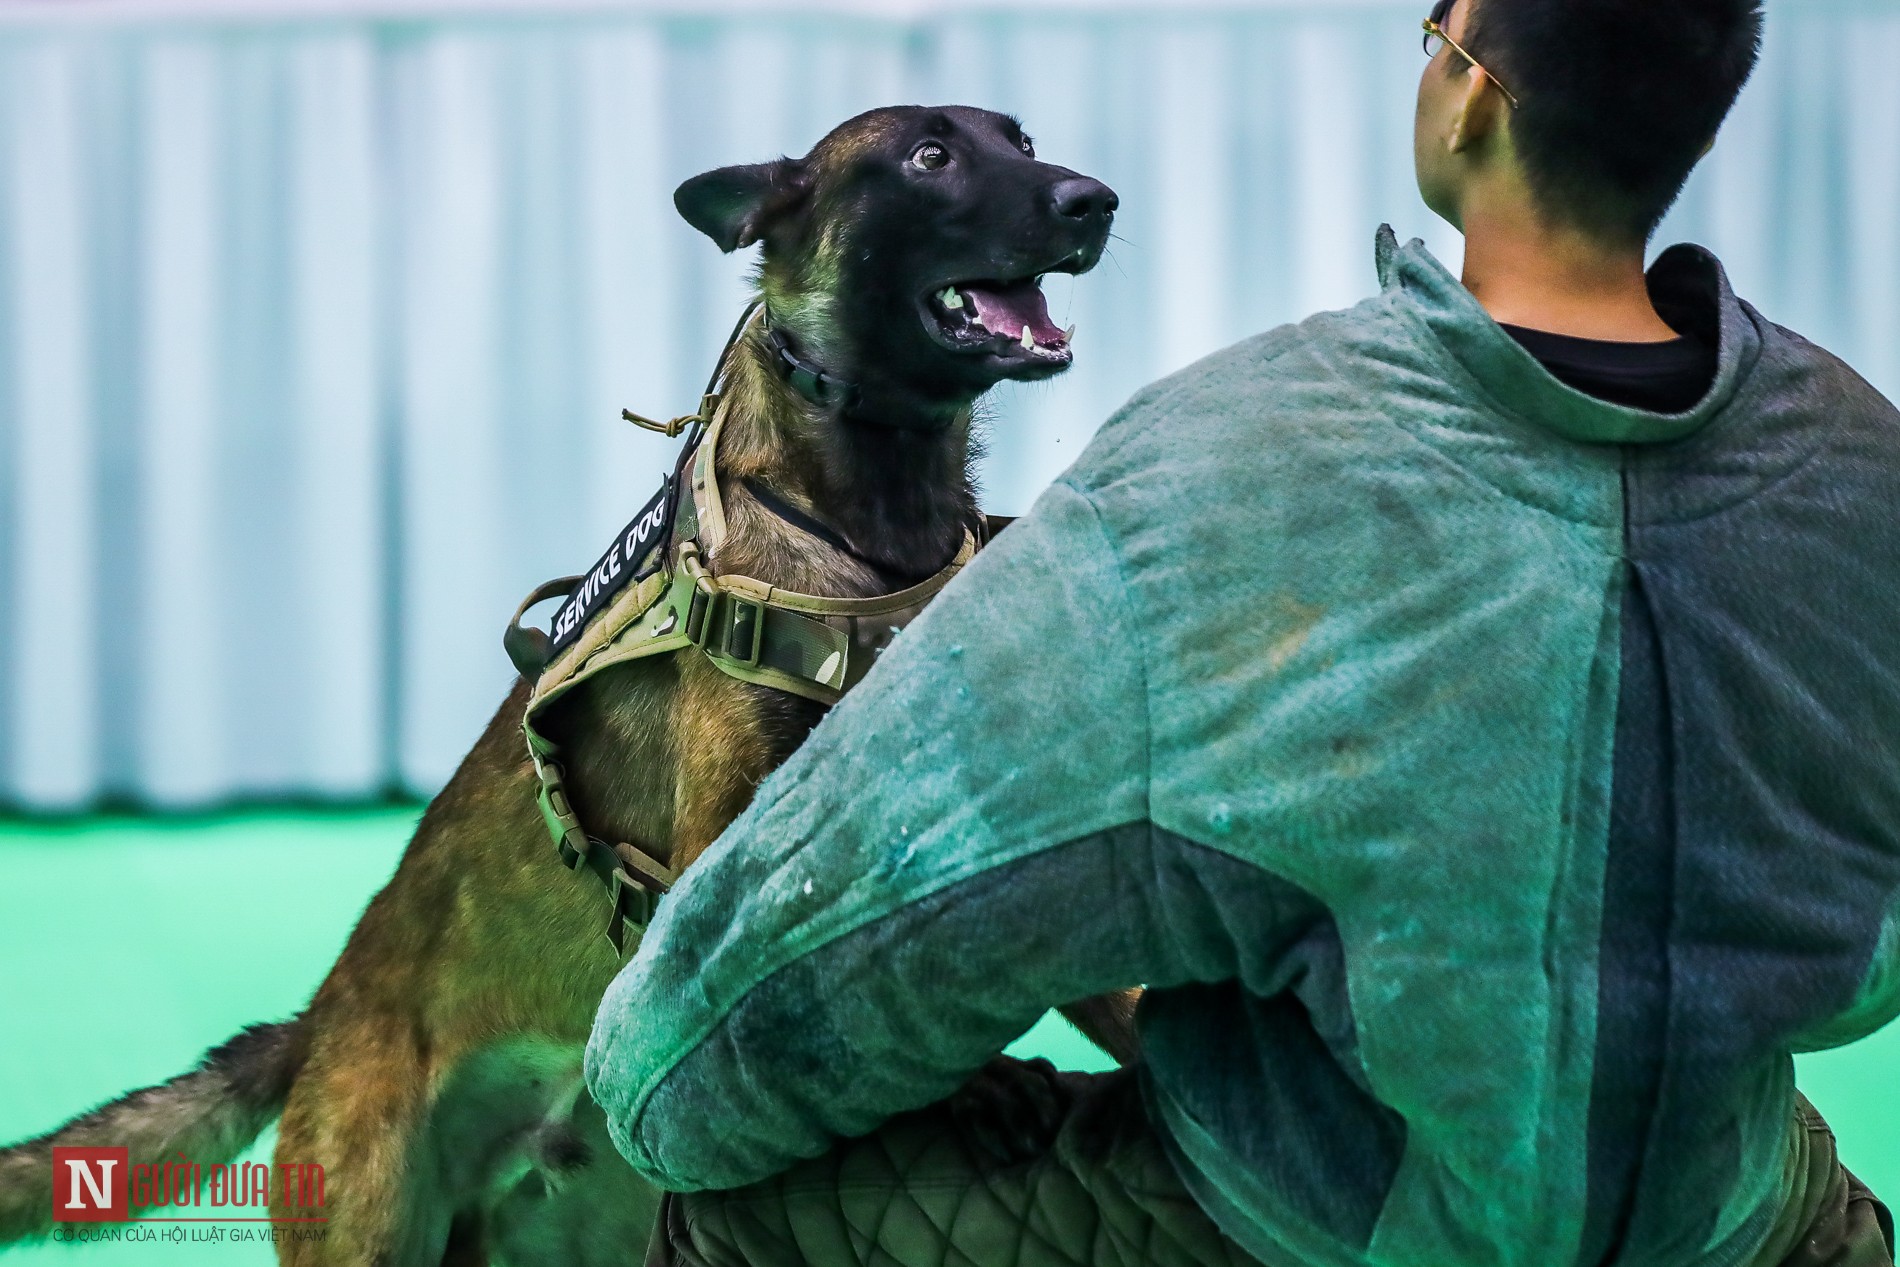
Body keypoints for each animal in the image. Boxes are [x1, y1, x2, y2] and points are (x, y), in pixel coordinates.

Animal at [0, 106, 1124, 1267]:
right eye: (929, 158)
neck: (862, 525)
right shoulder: (718, 857)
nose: (1094, 200)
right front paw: (977, 1082)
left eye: (1020, 141)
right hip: (373, 1222)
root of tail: (318, 1022)